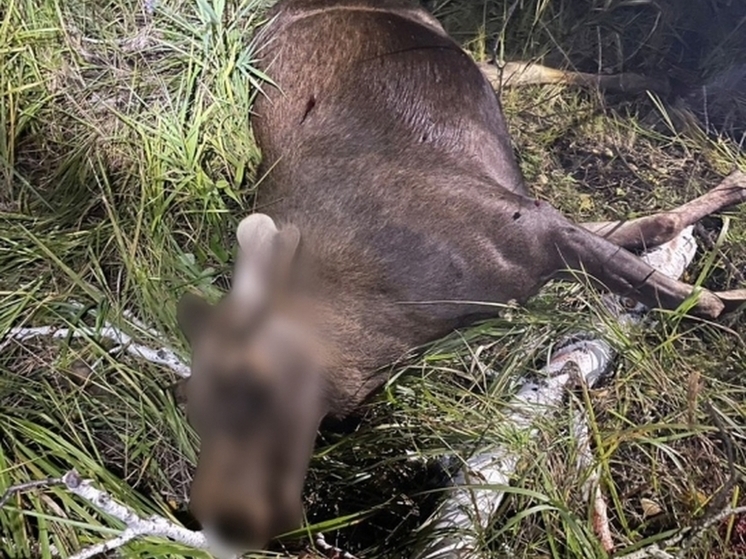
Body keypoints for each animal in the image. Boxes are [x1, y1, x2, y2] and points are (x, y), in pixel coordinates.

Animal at [174, 0, 744, 552]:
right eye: (194, 411)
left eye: (246, 394)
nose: (208, 515)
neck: (386, 334)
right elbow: (646, 238)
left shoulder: (530, 225)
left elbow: (659, 270)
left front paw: (718, 287)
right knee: (510, 69)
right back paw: (646, 84)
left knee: (514, 66)